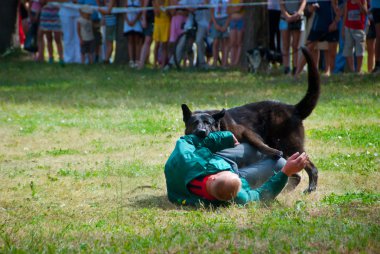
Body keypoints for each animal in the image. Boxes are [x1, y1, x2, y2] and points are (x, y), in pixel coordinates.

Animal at [183, 46, 320, 192]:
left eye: (208, 123)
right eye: (194, 123)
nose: (201, 132)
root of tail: (293, 109)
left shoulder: (247, 132)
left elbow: (259, 144)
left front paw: (273, 153)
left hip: (291, 146)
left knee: (311, 168)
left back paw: (310, 188)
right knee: (296, 175)